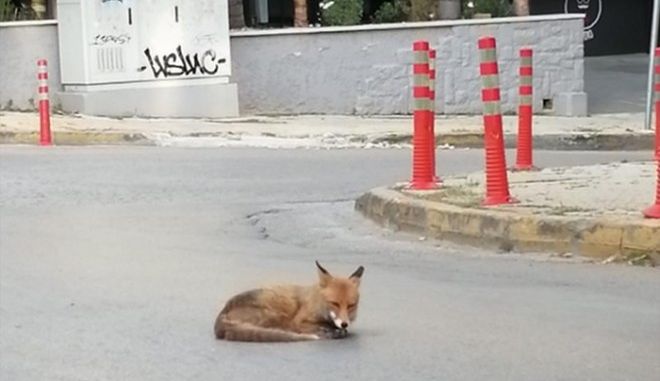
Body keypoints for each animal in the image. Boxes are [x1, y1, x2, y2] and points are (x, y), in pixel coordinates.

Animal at [214, 262, 364, 342]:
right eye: (335, 303)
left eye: (351, 305)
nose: (344, 323)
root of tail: (224, 311)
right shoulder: (299, 321)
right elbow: (320, 327)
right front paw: (332, 332)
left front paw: (337, 330)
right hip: (278, 313)